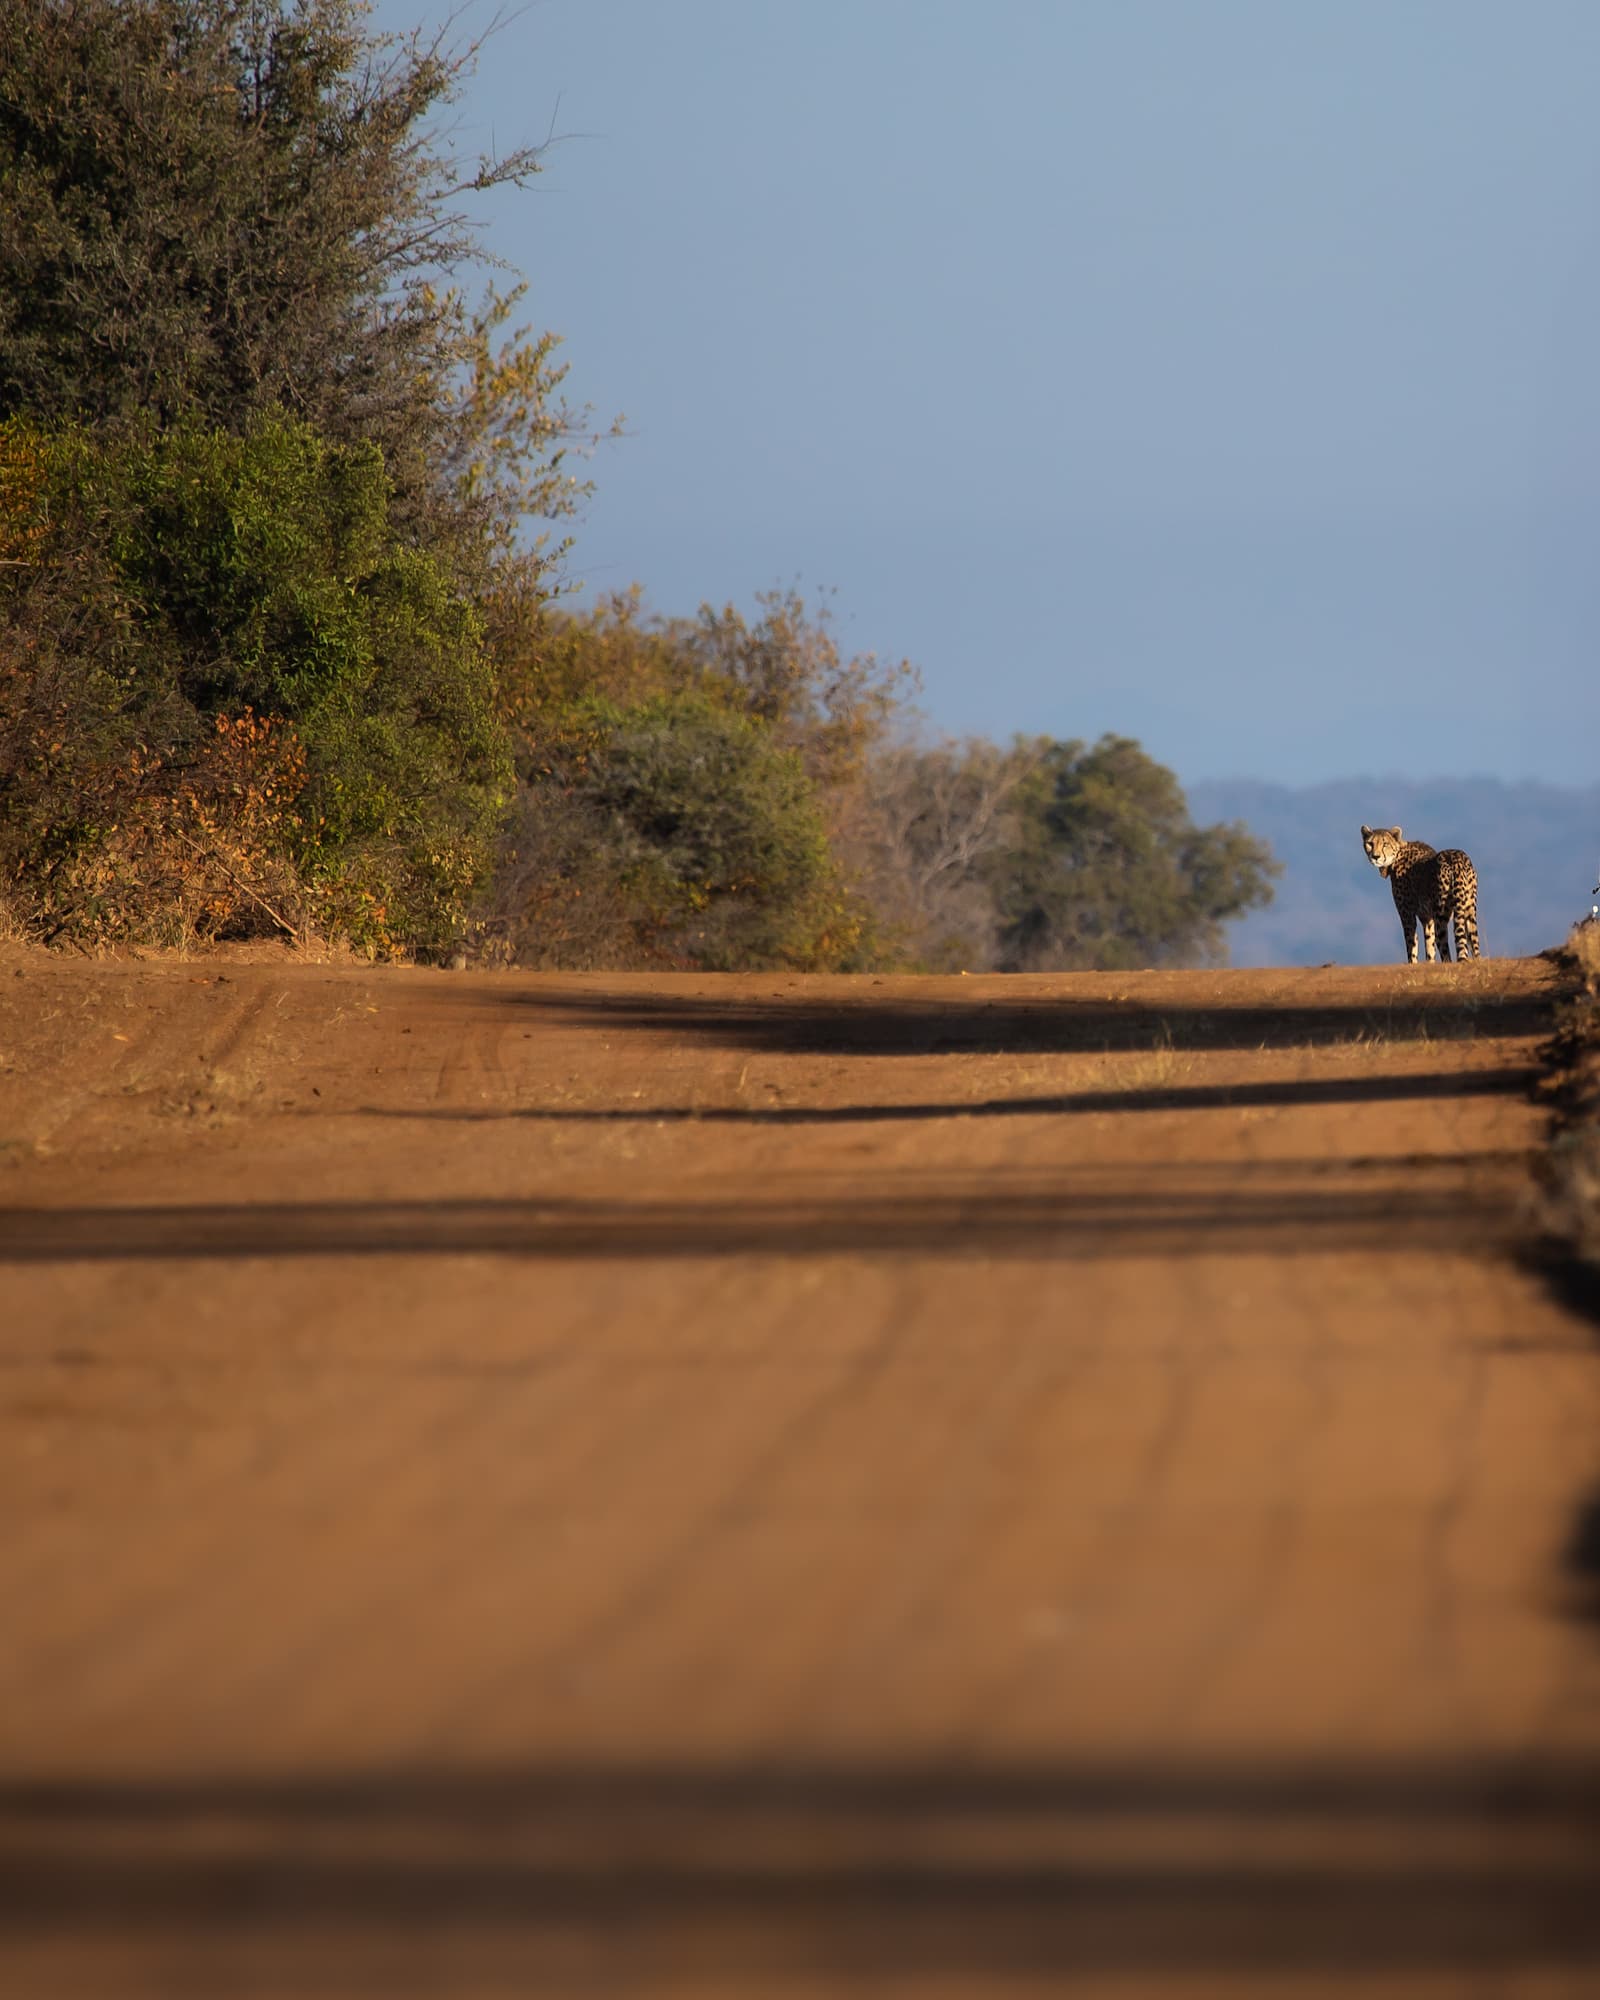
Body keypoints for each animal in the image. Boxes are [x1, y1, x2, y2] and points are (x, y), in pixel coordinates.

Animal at [1360, 825, 1480, 963]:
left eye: (1385, 844)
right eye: (1370, 843)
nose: (1375, 856)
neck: (1396, 856)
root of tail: (1456, 857)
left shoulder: (1407, 914)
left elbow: (1411, 945)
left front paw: (1412, 963)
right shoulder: (1427, 918)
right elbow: (1429, 946)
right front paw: (1430, 963)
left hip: (1441, 916)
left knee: (1446, 953)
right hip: (1470, 911)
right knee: (1476, 950)